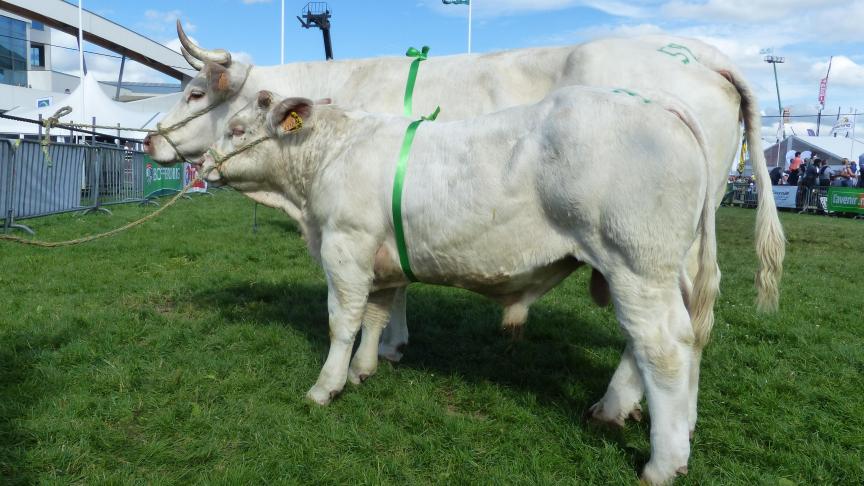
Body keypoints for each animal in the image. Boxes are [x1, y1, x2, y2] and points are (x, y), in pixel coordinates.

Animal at [199, 88, 720, 486]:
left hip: (636, 262)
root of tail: (655, 100)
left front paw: (326, 386)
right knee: (669, 340)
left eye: (238, 130)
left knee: (663, 346)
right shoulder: (380, 258)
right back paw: (627, 413)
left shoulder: (346, 246)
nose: (202, 164)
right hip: (656, 270)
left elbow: (342, 321)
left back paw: (662, 463)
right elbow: (376, 315)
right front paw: (364, 369)